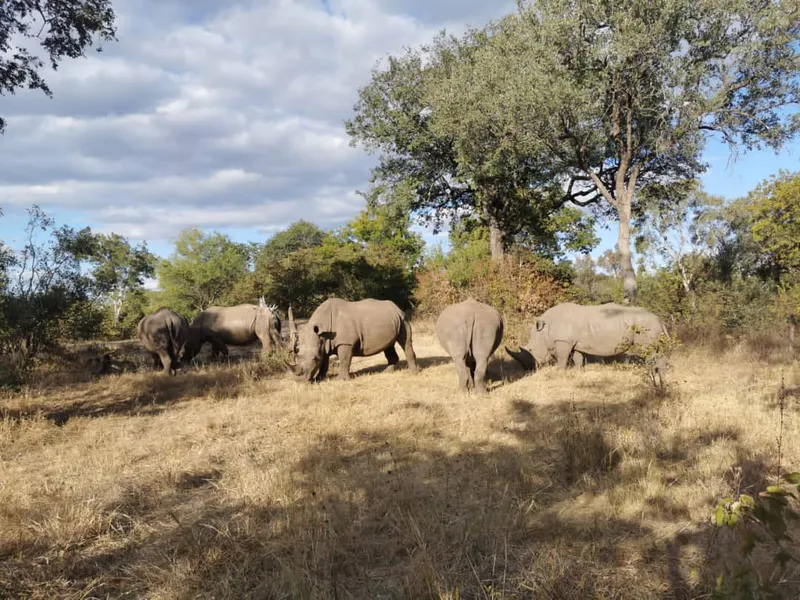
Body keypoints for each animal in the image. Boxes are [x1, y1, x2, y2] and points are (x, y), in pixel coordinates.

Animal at [286, 298, 419, 381]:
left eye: (314, 359)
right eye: (296, 356)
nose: (299, 381)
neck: (322, 331)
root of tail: (396, 307)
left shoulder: (345, 343)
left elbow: (344, 360)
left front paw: (341, 380)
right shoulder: (323, 344)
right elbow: (324, 363)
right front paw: (319, 379)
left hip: (403, 318)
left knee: (405, 342)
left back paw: (413, 373)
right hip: (391, 319)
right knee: (388, 345)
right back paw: (386, 372)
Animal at [506, 302, 669, 382]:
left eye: (531, 350)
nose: (527, 369)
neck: (545, 330)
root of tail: (659, 319)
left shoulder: (563, 341)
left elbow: (562, 358)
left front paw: (559, 372)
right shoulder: (575, 342)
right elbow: (578, 358)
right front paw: (578, 372)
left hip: (645, 326)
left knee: (648, 351)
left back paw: (651, 374)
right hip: (650, 326)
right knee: (658, 351)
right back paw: (661, 374)